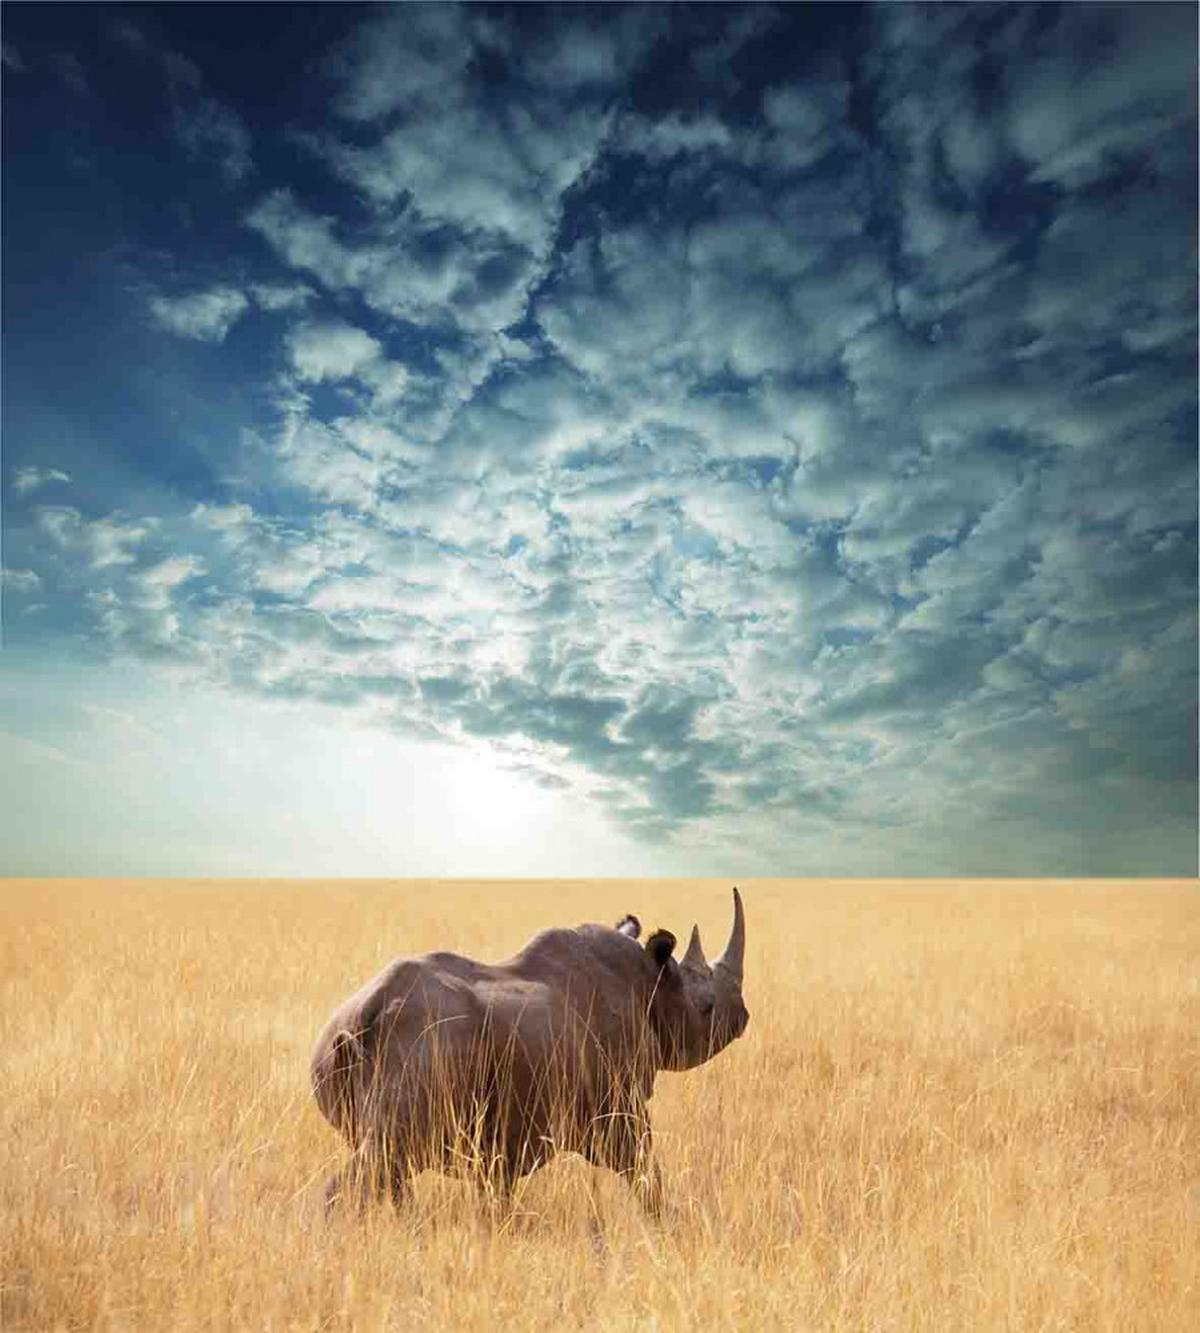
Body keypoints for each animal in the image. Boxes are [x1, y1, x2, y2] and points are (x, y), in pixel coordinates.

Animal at [312, 888, 749, 1216]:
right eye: (707, 1006)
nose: (742, 1017)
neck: (653, 986)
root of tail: (365, 1015)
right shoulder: (619, 1104)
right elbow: (645, 1173)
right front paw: (670, 1225)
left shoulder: (501, 1134)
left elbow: (495, 1194)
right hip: (425, 1046)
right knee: (383, 1160)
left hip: (351, 1049)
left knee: (392, 1167)